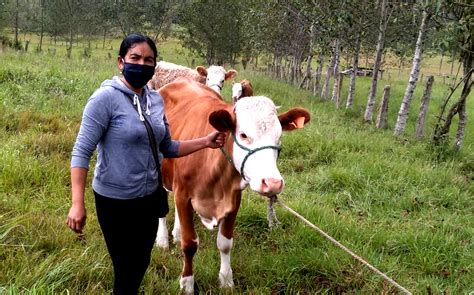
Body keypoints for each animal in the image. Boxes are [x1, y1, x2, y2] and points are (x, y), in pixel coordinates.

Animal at [156, 77, 312, 294]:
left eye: (279, 137)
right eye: (244, 135)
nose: (272, 183)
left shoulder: (233, 198)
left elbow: (225, 243)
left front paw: (226, 280)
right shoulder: (183, 194)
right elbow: (190, 244)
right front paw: (187, 284)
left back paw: (176, 233)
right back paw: (162, 240)